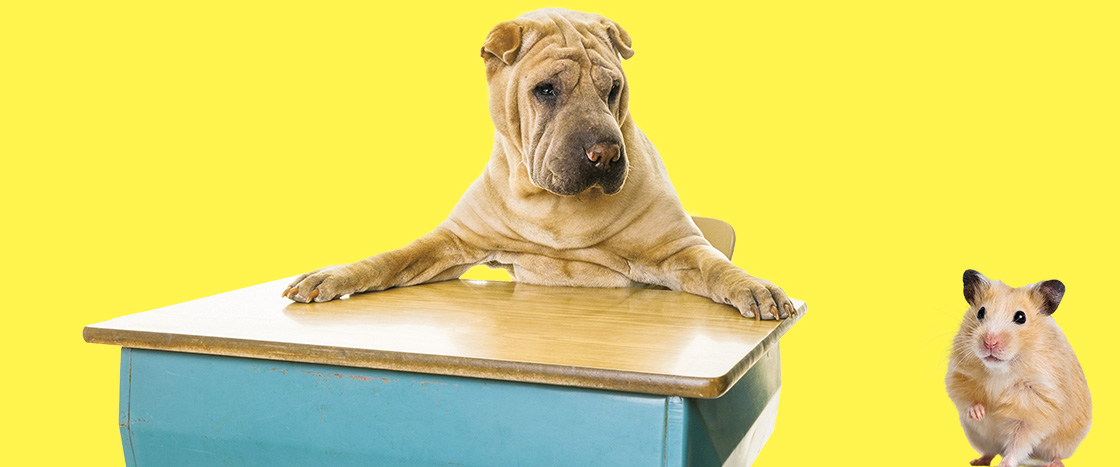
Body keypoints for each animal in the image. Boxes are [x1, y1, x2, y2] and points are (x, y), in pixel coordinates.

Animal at [288, 8, 797, 320]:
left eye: (613, 89)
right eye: (546, 90)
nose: (605, 153)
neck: (556, 207)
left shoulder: (679, 248)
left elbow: (718, 267)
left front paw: (757, 288)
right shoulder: (453, 242)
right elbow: (391, 259)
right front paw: (332, 275)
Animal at [945, 268, 1093, 465]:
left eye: (1021, 317)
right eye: (980, 312)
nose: (990, 342)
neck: (1000, 369)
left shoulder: (1037, 406)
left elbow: (1019, 442)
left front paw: (1004, 464)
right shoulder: (959, 375)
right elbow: (965, 397)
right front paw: (979, 413)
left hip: (1064, 442)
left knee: (1056, 454)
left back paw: (1052, 464)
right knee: (990, 451)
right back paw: (977, 461)